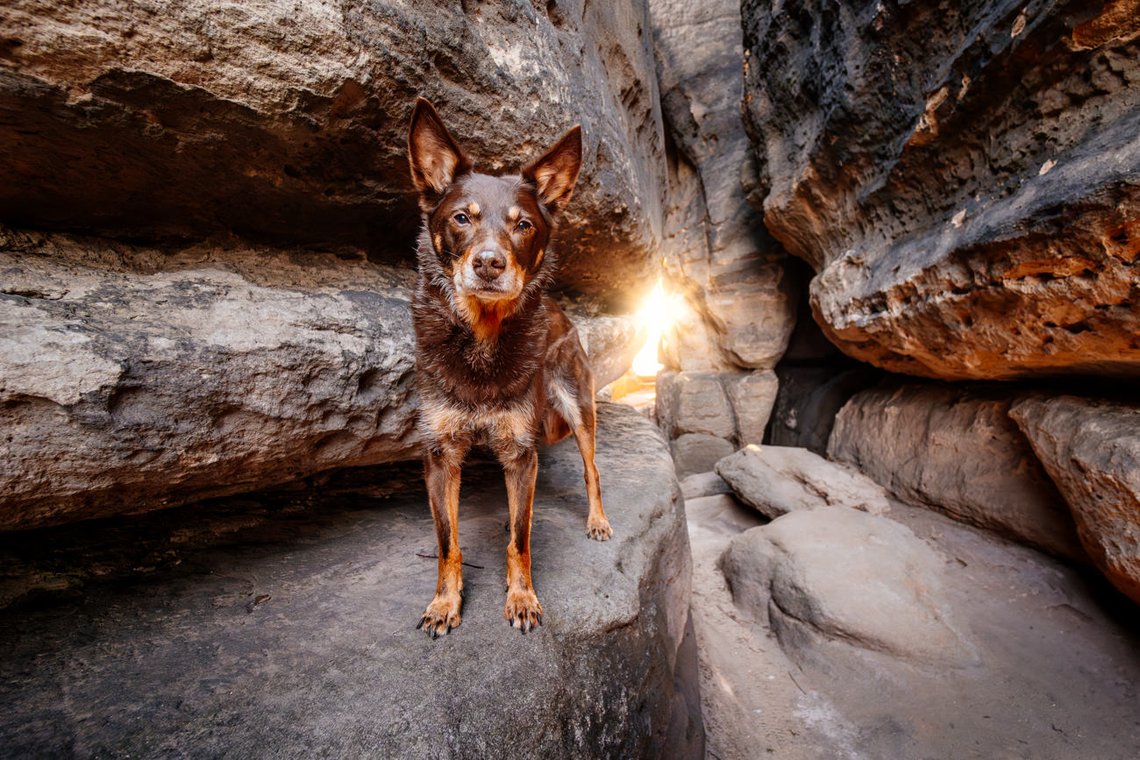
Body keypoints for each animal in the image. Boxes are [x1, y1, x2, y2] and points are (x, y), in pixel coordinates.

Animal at [405, 97, 611, 638]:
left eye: (523, 225)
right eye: (461, 218)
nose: (489, 263)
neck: (482, 340)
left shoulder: (520, 451)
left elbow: (521, 540)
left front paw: (521, 598)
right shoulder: (440, 455)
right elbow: (447, 541)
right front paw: (445, 603)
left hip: (579, 409)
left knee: (591, 471)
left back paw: (597, 520)